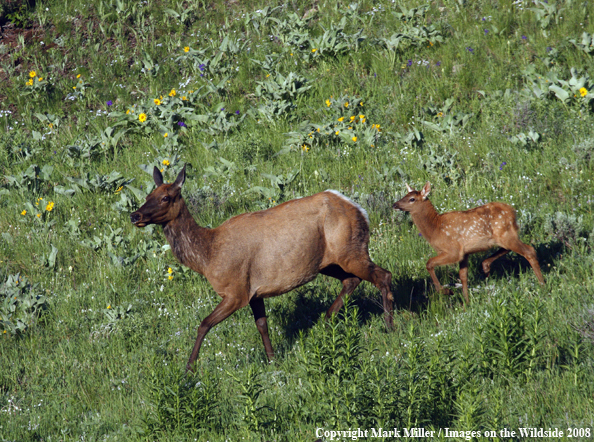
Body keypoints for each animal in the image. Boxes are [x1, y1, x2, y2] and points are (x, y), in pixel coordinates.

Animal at [132, 164, 396, 372]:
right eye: (148, 194)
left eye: (166, 197)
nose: (135, 215)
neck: (208, 256)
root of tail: (361, 210)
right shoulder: (254, 292)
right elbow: (262, 325)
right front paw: (272, 361)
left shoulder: (236, 291)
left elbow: (204, 323)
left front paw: (189, 368)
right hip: (329, 262)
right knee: (352, 280)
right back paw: (326, 321)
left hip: (351, 250)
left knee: (383, 275)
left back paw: (389, 327)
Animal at [390, 180, 544, 304]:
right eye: (404, 195)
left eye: (412, 199)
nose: (394, 204)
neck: (435, 229)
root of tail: (513, 212)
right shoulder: (464, 253)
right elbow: (463, 276)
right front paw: (467, 303)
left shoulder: (453, 251)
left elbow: (429, 263)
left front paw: (447, 291)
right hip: (504, 237)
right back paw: (486, 266)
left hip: (506, 235)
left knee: (529, 251)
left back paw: (542, 284)